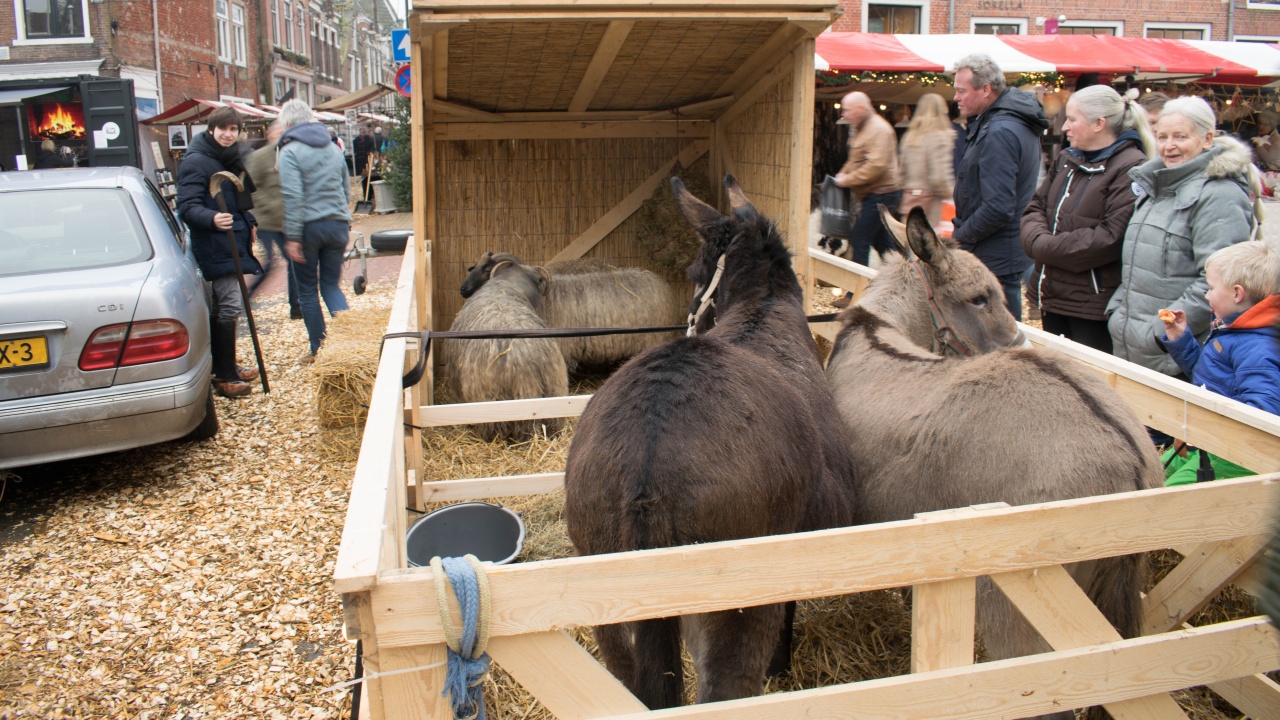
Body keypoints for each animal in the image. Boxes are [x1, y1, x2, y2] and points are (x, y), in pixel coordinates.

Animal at [448, 252, 573, 443]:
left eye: (486, 269)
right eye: (473, 267)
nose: (463, 289)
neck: (508, 282)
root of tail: (528, 358)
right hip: (555, 391)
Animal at [458, 251, 686, 368]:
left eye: (487, 269)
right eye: (474, 266)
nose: (462, 289)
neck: (545, 300)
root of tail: (659, 281)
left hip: (653, 338)